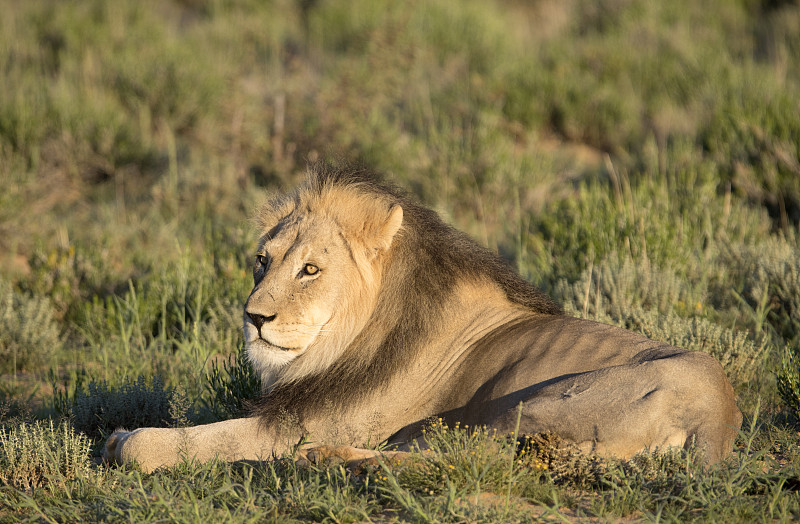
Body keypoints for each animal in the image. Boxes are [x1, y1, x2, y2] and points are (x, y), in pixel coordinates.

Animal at [106, 163, 744, 470]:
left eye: (310, 270)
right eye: (262, 261)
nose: (253, 316)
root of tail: (722, 414)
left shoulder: (298, 425)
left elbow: (189, 442)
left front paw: (124, 440)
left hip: (533, 405)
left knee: (466, 458)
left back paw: (327, 461)